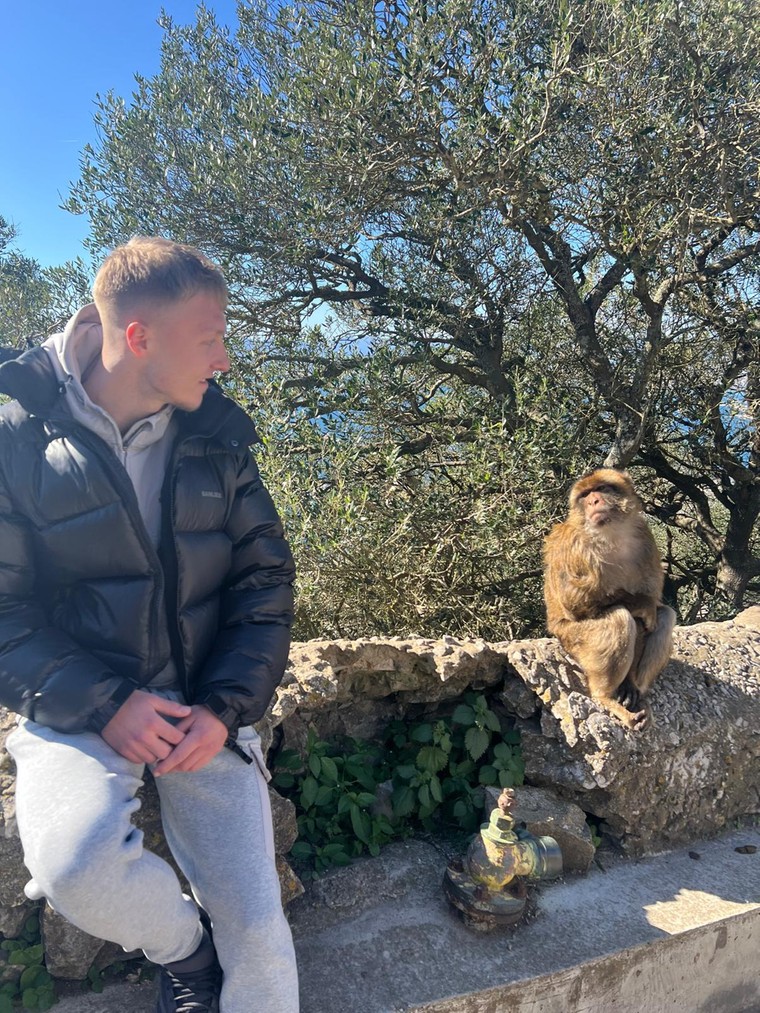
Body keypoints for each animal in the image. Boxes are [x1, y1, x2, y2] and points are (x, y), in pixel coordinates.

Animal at [543, 465, 676, 729]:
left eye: (602, 488)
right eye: (585, 496)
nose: (594, 501)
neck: (611, 533)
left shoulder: (646, 541)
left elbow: (651, 611)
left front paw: (629, 685)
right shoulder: (574, 546)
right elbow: (575, 601)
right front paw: (643, 605)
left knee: (666, 616)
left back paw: (634, 687)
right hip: (571, 638)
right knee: (619, 618)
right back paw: (604, 696)